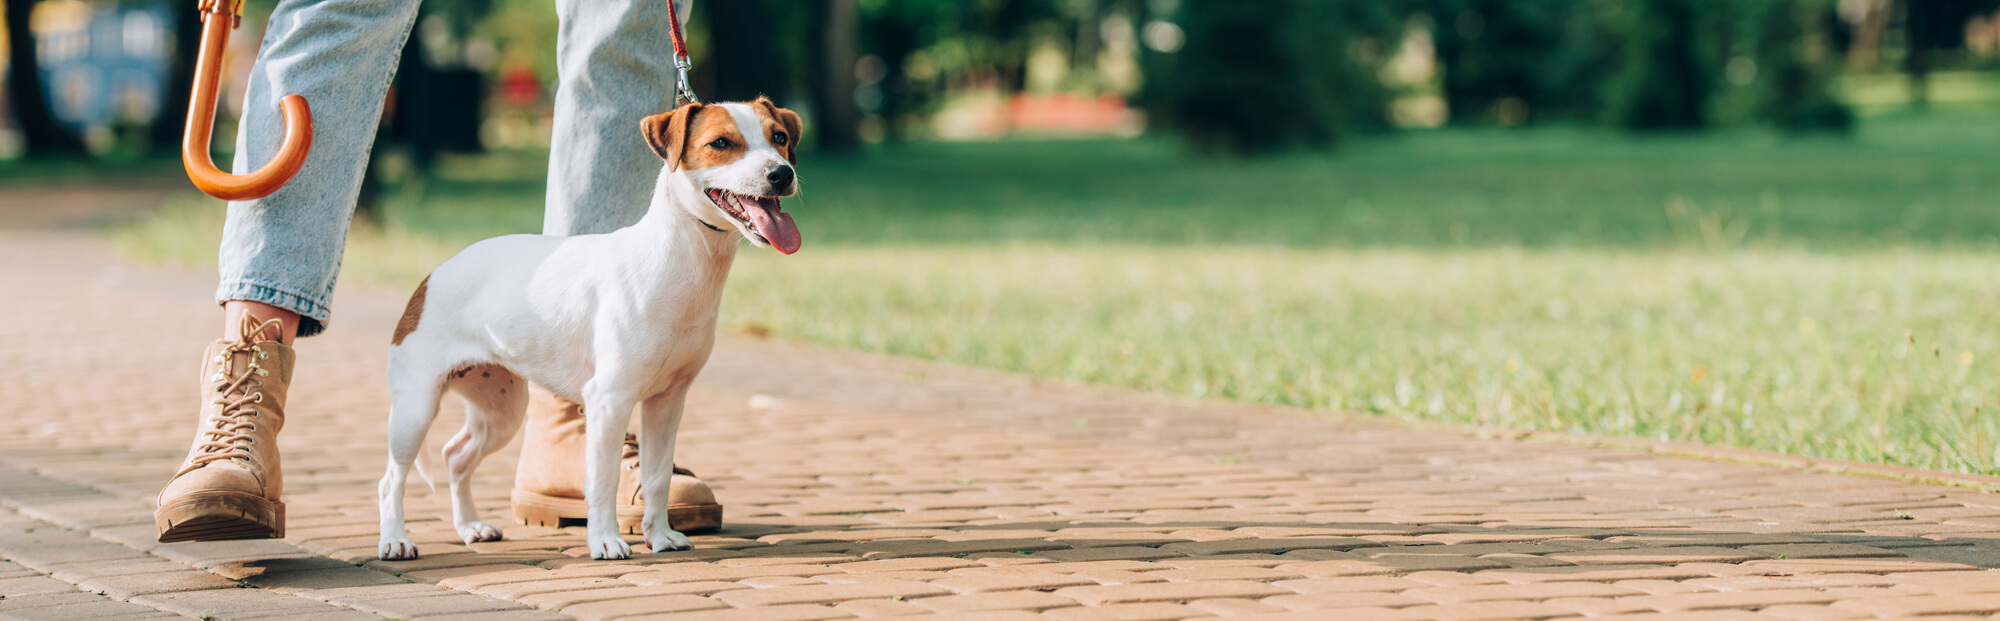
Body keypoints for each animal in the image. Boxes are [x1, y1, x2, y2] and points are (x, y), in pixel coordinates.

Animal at [378, 98, 800, 560]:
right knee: (391, 480)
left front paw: (659, 535)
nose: (782, 173)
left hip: (501, 411)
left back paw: (470, 526)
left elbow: (657, 477)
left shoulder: (667, 402)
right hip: (415, 409)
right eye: (721, 143)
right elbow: (602, 480)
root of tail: (433, 275)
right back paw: (395, 539)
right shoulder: (609, 399)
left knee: (456, 457)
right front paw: (605, 540)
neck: (676, 260)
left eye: (779, 137)